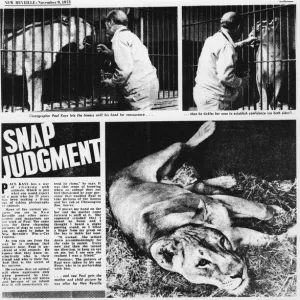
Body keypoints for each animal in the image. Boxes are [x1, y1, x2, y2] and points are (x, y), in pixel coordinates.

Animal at [108, 120, 296, 294]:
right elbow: (270, 237)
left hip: (164, 158)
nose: (239, 272)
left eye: (221, 242)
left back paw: (209, 128)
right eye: (202, 263)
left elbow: (264, 212)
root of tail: (114, 177)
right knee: (193, 181)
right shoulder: (234, 231)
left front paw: (284, 215)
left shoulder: (218, 203)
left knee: (184, 146)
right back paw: (226, 179)